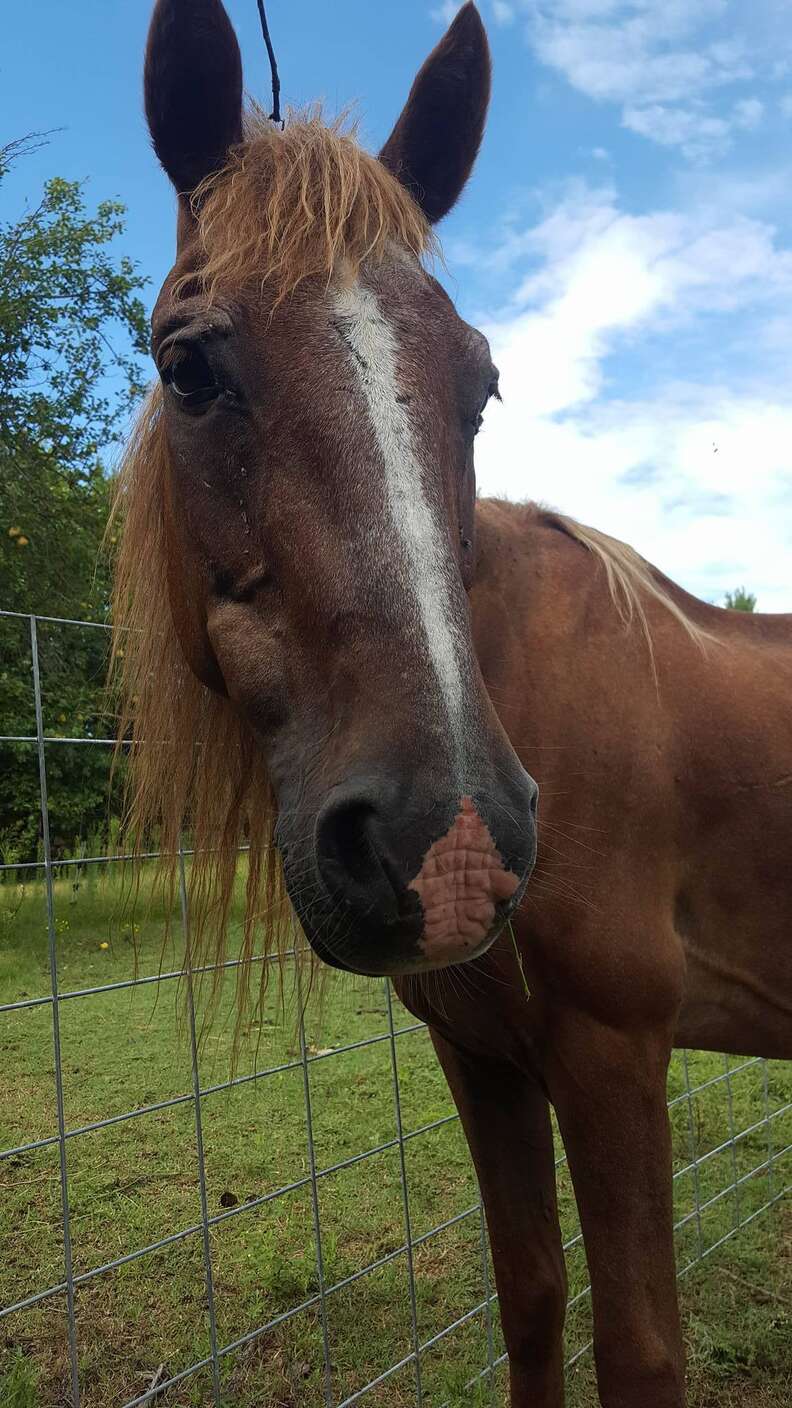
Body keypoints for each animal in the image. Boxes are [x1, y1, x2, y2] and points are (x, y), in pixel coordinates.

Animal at [114, 5, 789, 1402]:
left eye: (479, 384)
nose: (454, 843)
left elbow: (639, 1347)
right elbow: (529, 1296)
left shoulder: (616, 1049)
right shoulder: (483, 1057)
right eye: (187, 368)